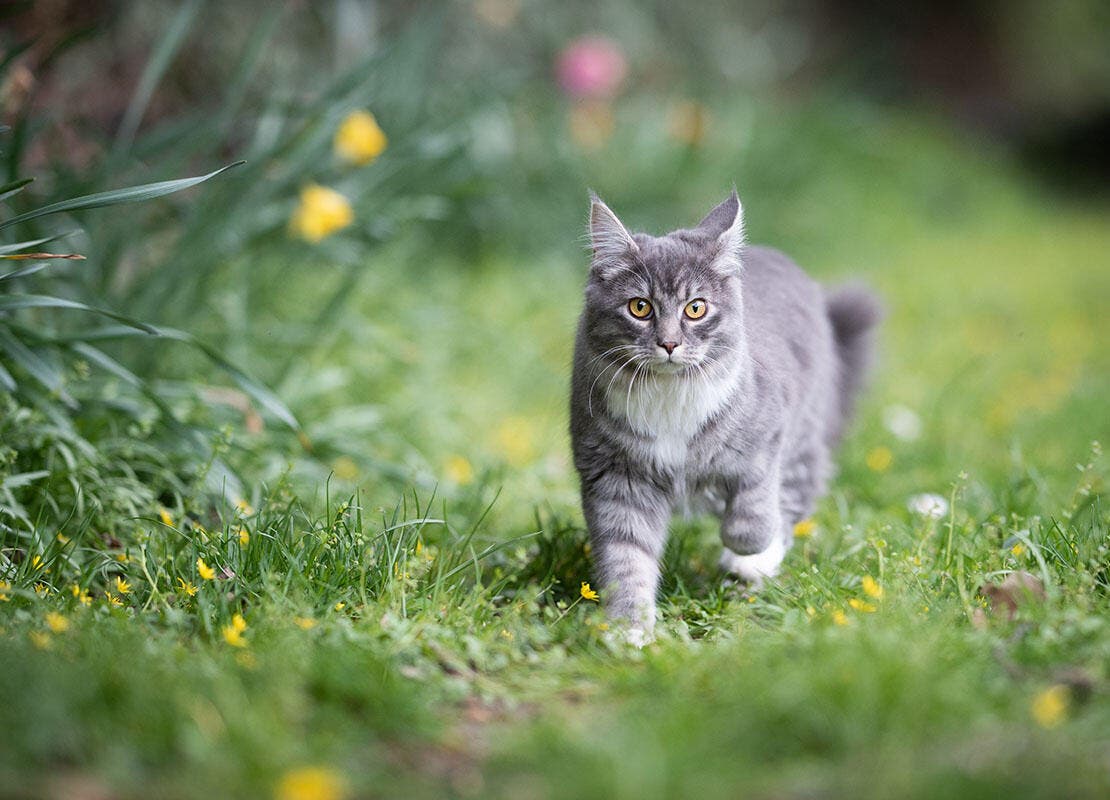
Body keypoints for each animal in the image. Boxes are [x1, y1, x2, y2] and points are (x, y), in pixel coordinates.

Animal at [572, 188, 874, 643]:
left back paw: (751, 564)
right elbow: (626, 558)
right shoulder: (615, 476)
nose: (669, 344)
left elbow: (753, 513)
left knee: (792, 499)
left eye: (696, 309)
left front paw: (747, 550)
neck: (670, 396)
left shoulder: (768, 433)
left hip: (804, 436)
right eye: (640, 307)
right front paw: (629, 631)